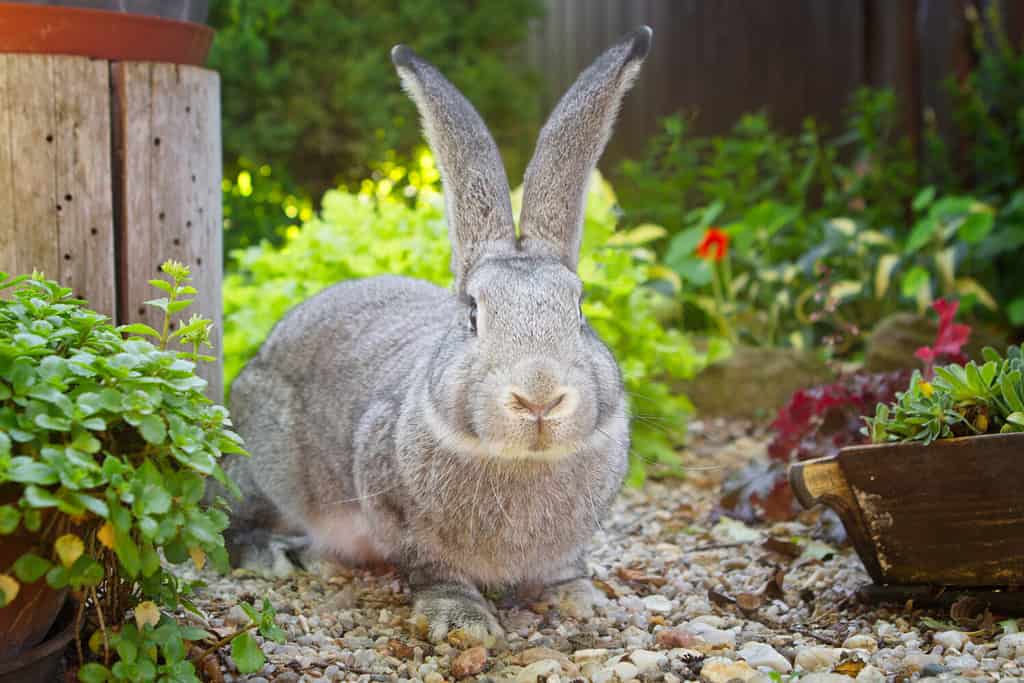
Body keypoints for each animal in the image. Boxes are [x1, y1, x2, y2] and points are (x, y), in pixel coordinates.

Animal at [224, 25, 651, 643]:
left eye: (579, 310)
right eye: (473, 314)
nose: (539, 397)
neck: (520, 461)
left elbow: (565, 566)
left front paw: (578, 598)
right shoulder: (396, 511)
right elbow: (432, 567)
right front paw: (463, 621)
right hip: (261, 464)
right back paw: (282, 556)